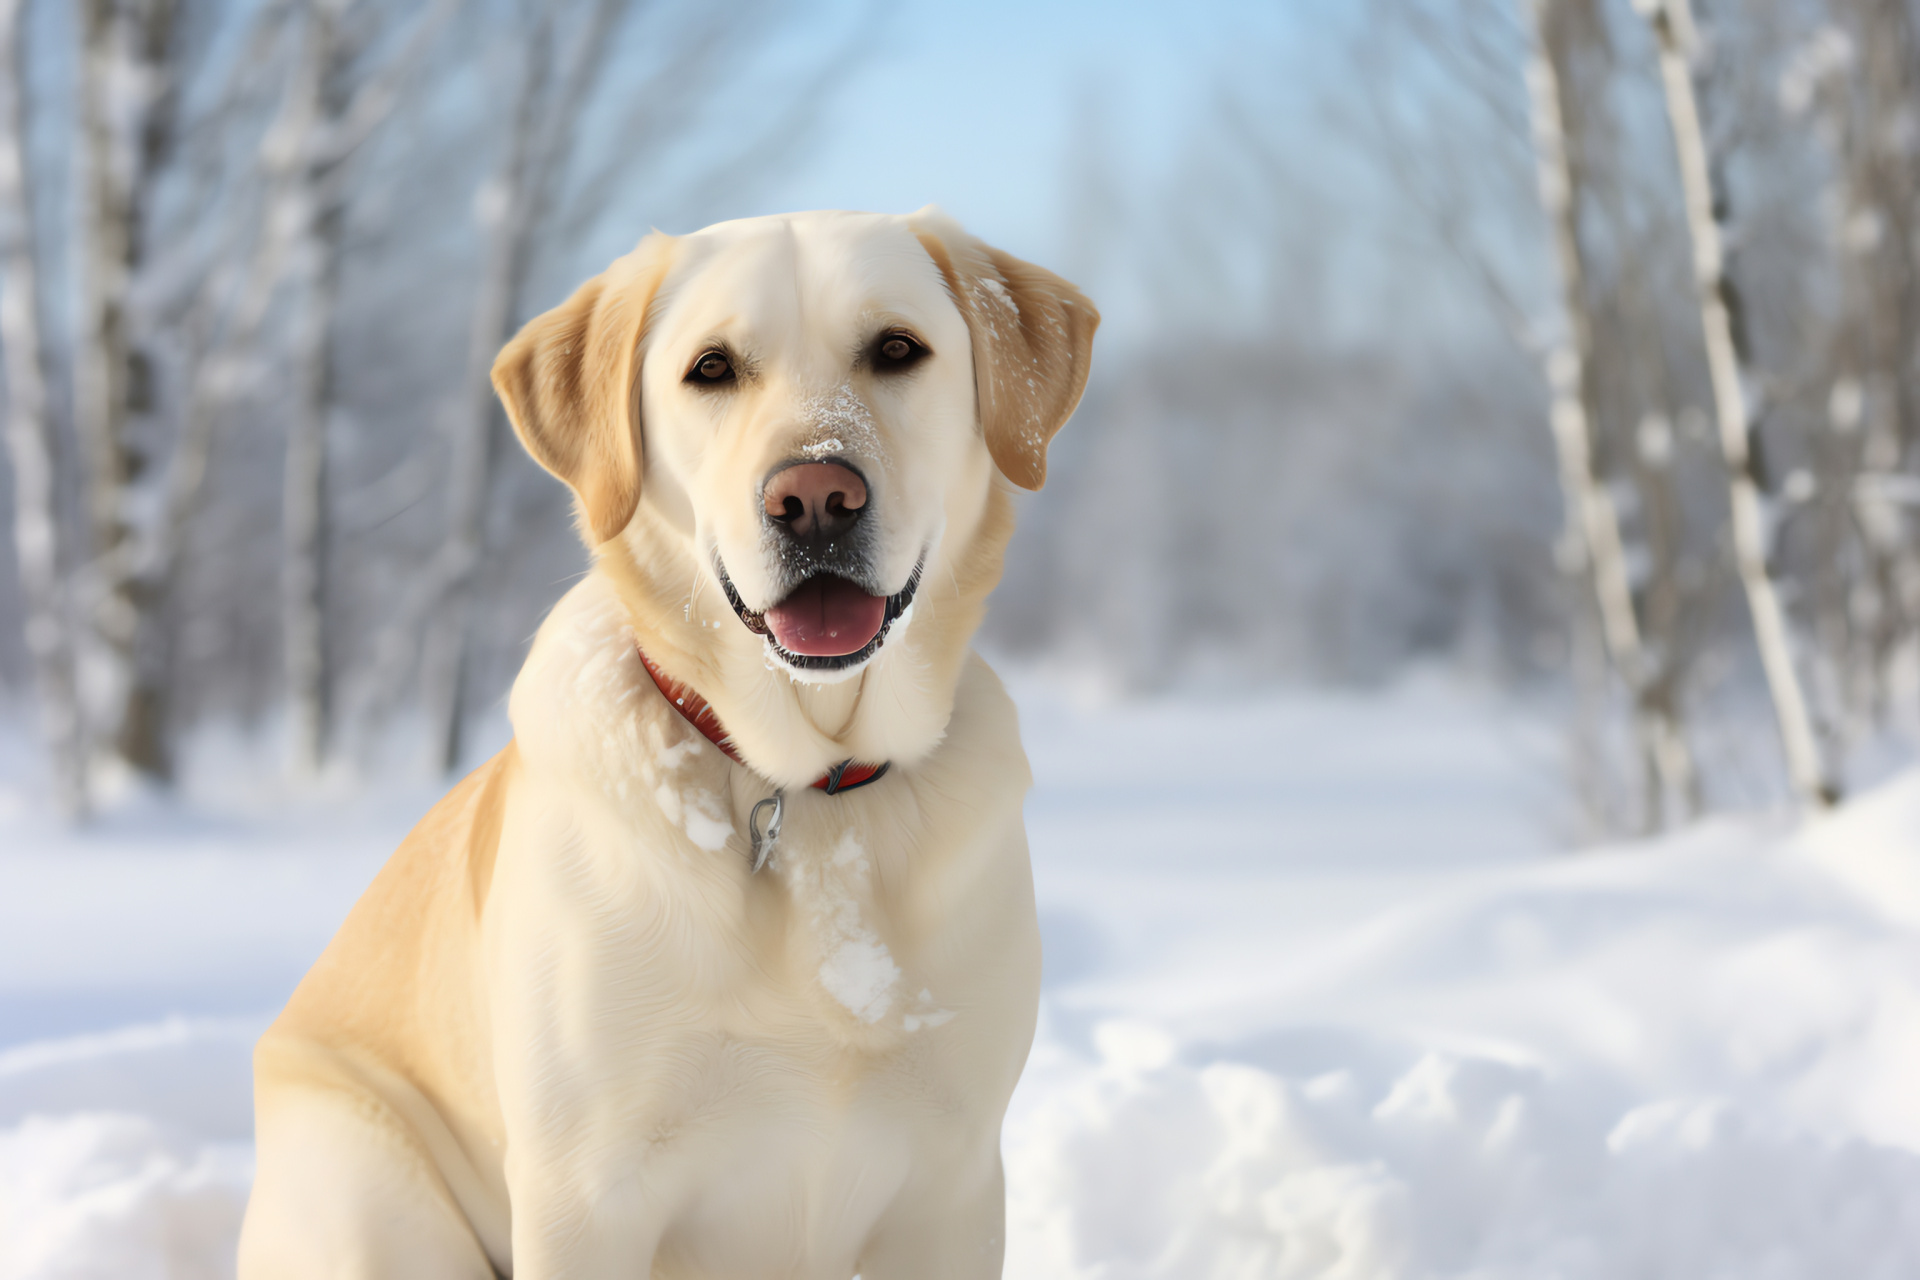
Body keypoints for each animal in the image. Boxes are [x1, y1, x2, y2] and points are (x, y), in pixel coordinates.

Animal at [243, 213, 1098, 1280]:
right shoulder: (584, 1195)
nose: (815, 497)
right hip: (371, 1196)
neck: (805, 786)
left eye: (898, 349)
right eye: (712, 368)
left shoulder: (953, 1184)